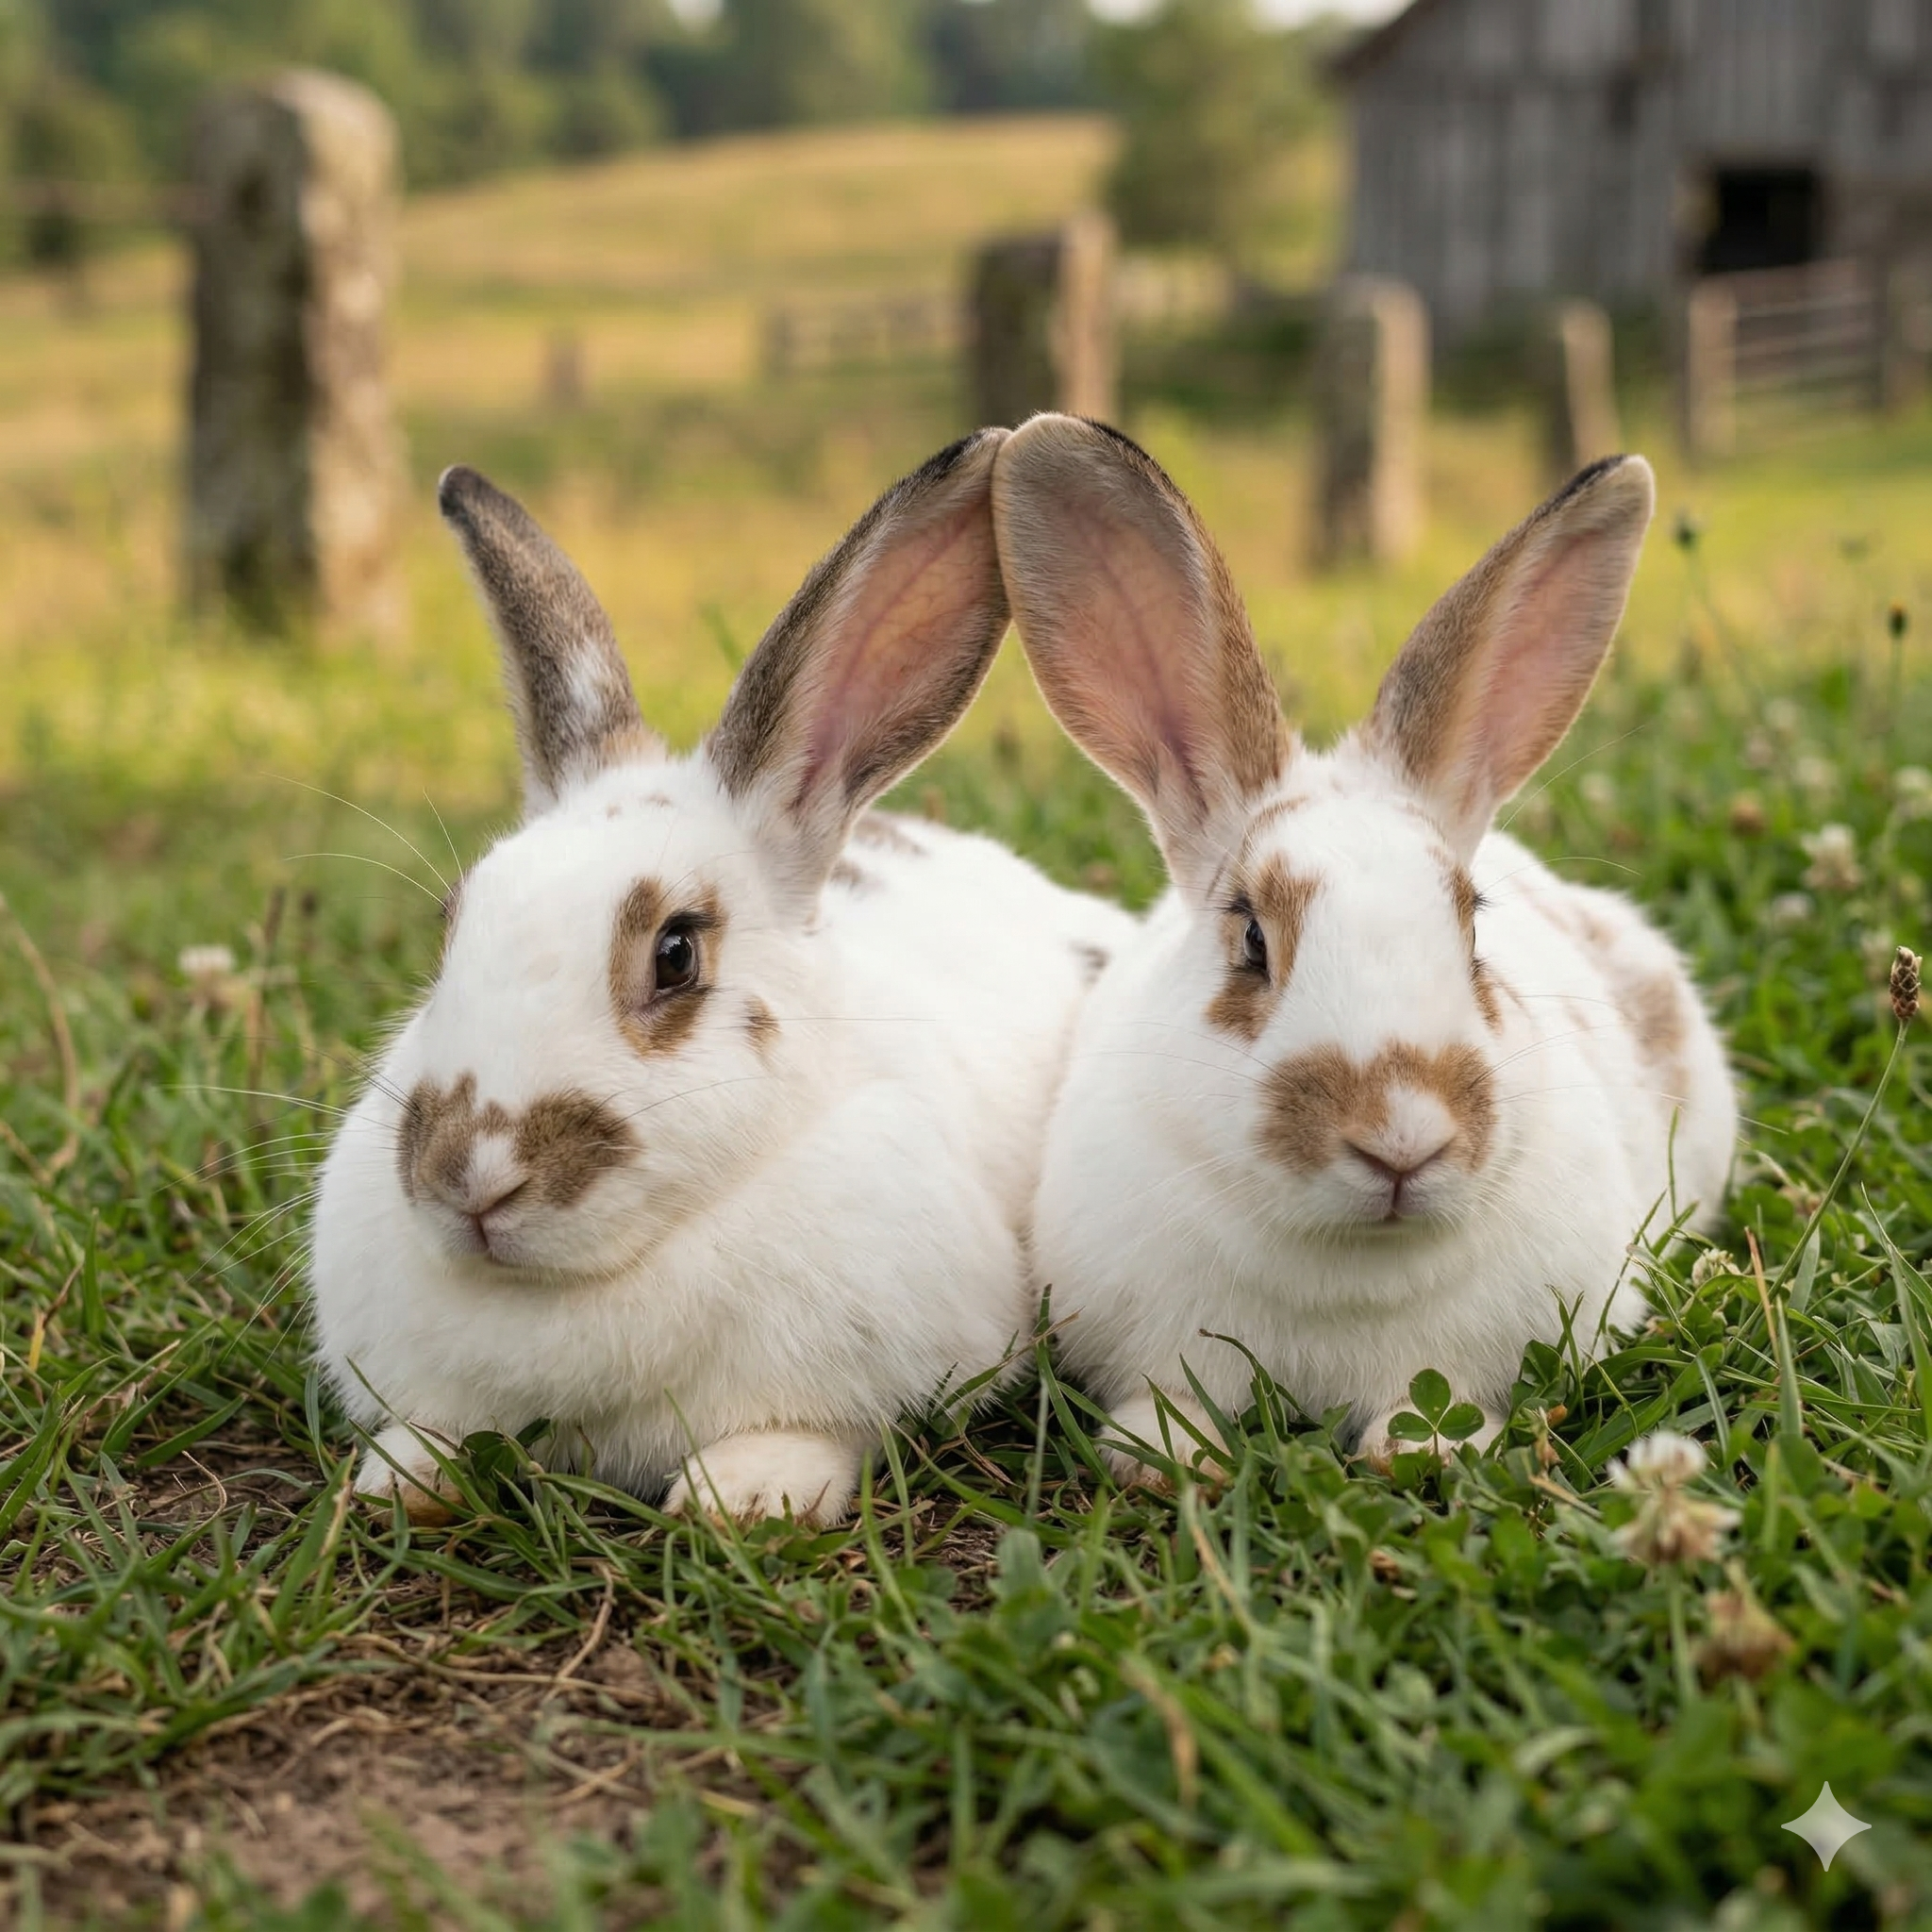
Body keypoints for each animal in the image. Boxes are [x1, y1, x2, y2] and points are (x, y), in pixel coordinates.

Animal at [308, 429, 1137, 1527]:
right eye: (450, 929)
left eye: (676, 953)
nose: (468, 1176)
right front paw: (401, 1479)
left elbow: (818, 1428)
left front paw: (740, 1499)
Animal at [991, 415, 1737, 1478]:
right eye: (1250, 937)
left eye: (1472, 927)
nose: (1401, 1137)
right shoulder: (1160, 1343)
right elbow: (1168, 1396)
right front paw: (1157, 1456)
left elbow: (1433, 1404)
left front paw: (1426, 1452)